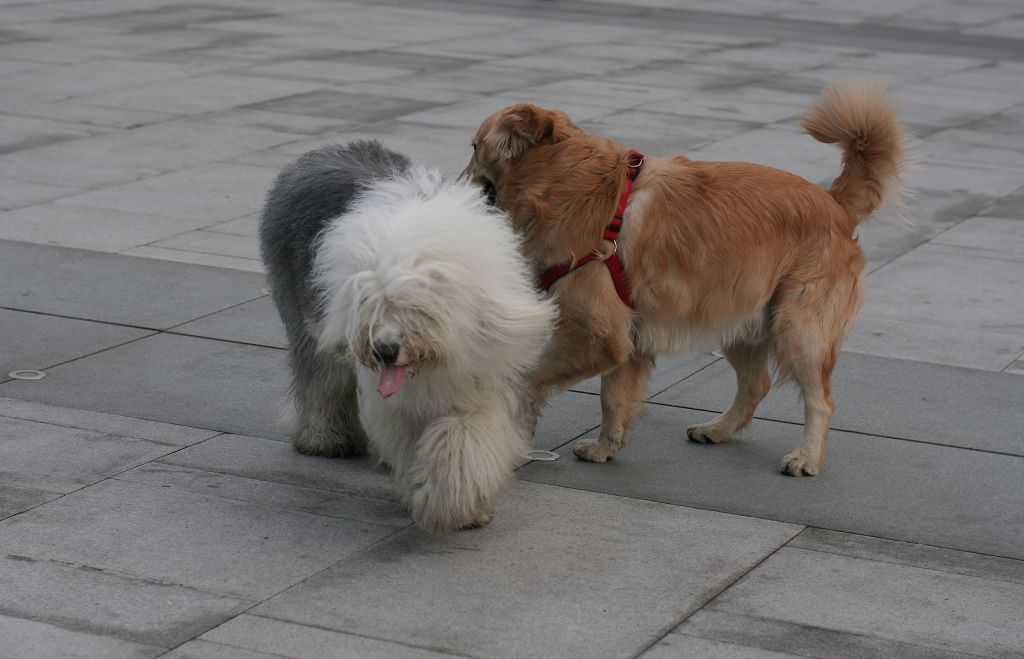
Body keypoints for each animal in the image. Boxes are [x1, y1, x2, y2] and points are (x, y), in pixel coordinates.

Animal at [260, 141, 557, 532]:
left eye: (415, 307)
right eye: (369, 304)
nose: (384, 350)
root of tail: (320, 153)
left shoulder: (482, 375)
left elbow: (464, 439)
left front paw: (457, 503)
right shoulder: (397, 401)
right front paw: (437, 497)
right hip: (307, 315)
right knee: (323, 378)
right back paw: (326, 438)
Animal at [460, 82, 909, 476]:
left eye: (474, 148)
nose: (453, 184)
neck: (566, 179)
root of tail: (834, 203)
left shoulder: (596, 333)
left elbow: (532, 375)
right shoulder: (624, 338)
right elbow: (613, 397)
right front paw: (606, 446)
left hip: (797, 329)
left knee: (820, 401)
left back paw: (806, 458)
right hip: (740, 319)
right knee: (756, 384)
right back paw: (718, 429)